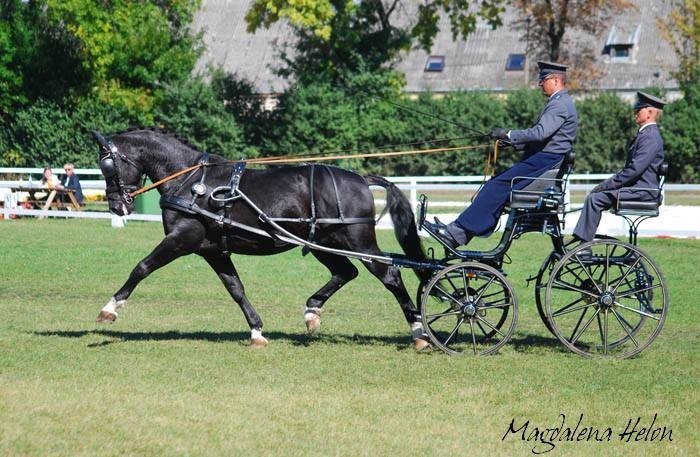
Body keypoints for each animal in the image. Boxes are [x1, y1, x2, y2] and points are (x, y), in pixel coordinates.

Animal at [93, 130, 432, 348]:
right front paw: (256, 331)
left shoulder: (182, 239)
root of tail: (361, 178)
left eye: (108, 165)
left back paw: (419, 332)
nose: (117, 207)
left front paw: (110, 308)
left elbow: (142, 267)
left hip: (358, 243)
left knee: (389, 274)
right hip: (323, 243)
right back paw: (312, 312)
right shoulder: (213, 251)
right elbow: (236, 289)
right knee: (345, 272)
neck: (190, 180)